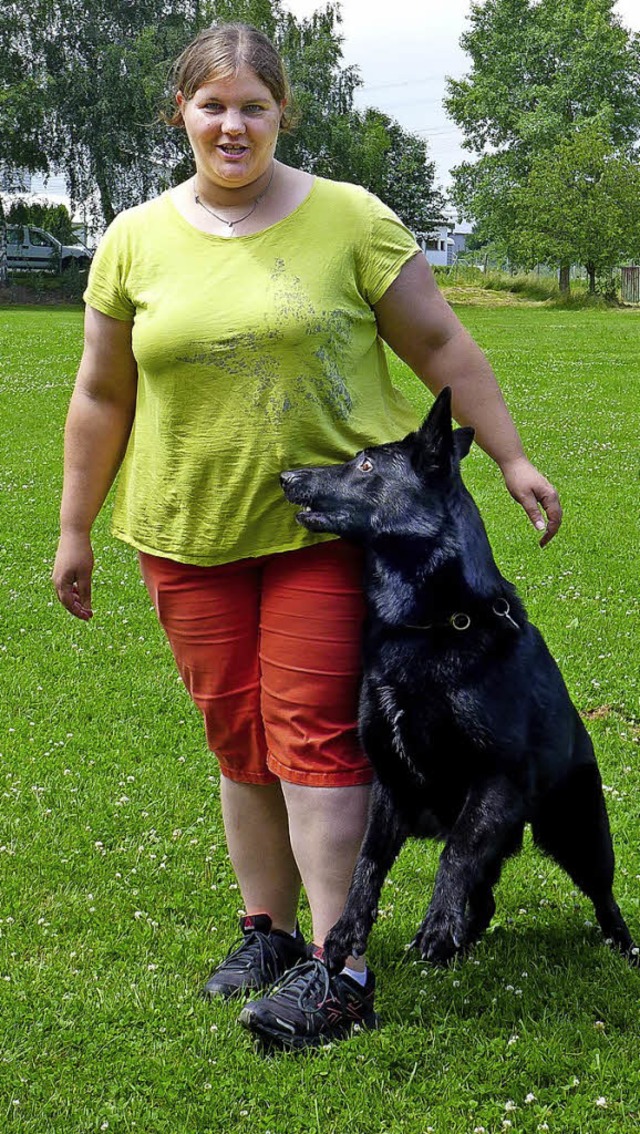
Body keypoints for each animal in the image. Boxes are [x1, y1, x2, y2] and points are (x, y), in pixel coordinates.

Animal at [282, 385, 635, 970]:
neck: (429, 623)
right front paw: (348, 927)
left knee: (602, 895)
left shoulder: (495, 779)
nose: (286, 475)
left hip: (578, 832)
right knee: (486, 897)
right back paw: (465, 939)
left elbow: (457, 850)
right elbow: (367, 861)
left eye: (366, 464)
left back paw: (624, 948)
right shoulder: (390, 782)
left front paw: (438, 922)